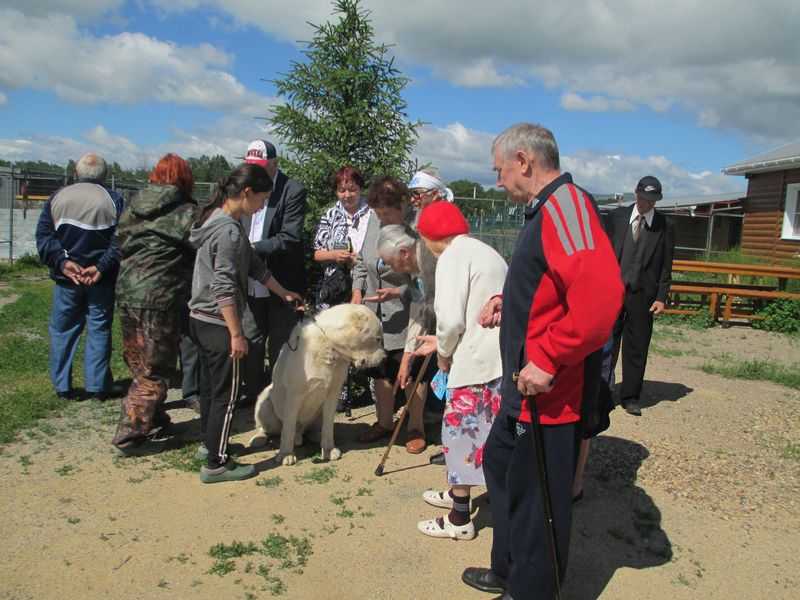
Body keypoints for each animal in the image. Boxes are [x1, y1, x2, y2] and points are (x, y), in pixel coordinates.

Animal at [250, 304, 388, 464]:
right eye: (378, 339)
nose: (384, 359)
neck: (329, 345)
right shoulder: (294, 395)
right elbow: (288, 429)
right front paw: (286, 454)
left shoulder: (333, 393)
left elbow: (328, 426)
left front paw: (328, 450)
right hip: (265, 399)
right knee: (268, 428)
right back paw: (259, 438)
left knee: (311, 429)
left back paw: (315, 435)